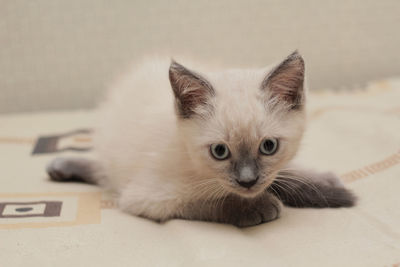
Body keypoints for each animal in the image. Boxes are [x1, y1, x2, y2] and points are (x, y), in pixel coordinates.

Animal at [47, 51, 356, 227]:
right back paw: (59, 167)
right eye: (220, 151)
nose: (247, 181)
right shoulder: (150, 197)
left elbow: (285, 176)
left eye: (269, 146)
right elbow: (212, 201)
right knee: (101, 170)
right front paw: (255, 207)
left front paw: (324, 184)